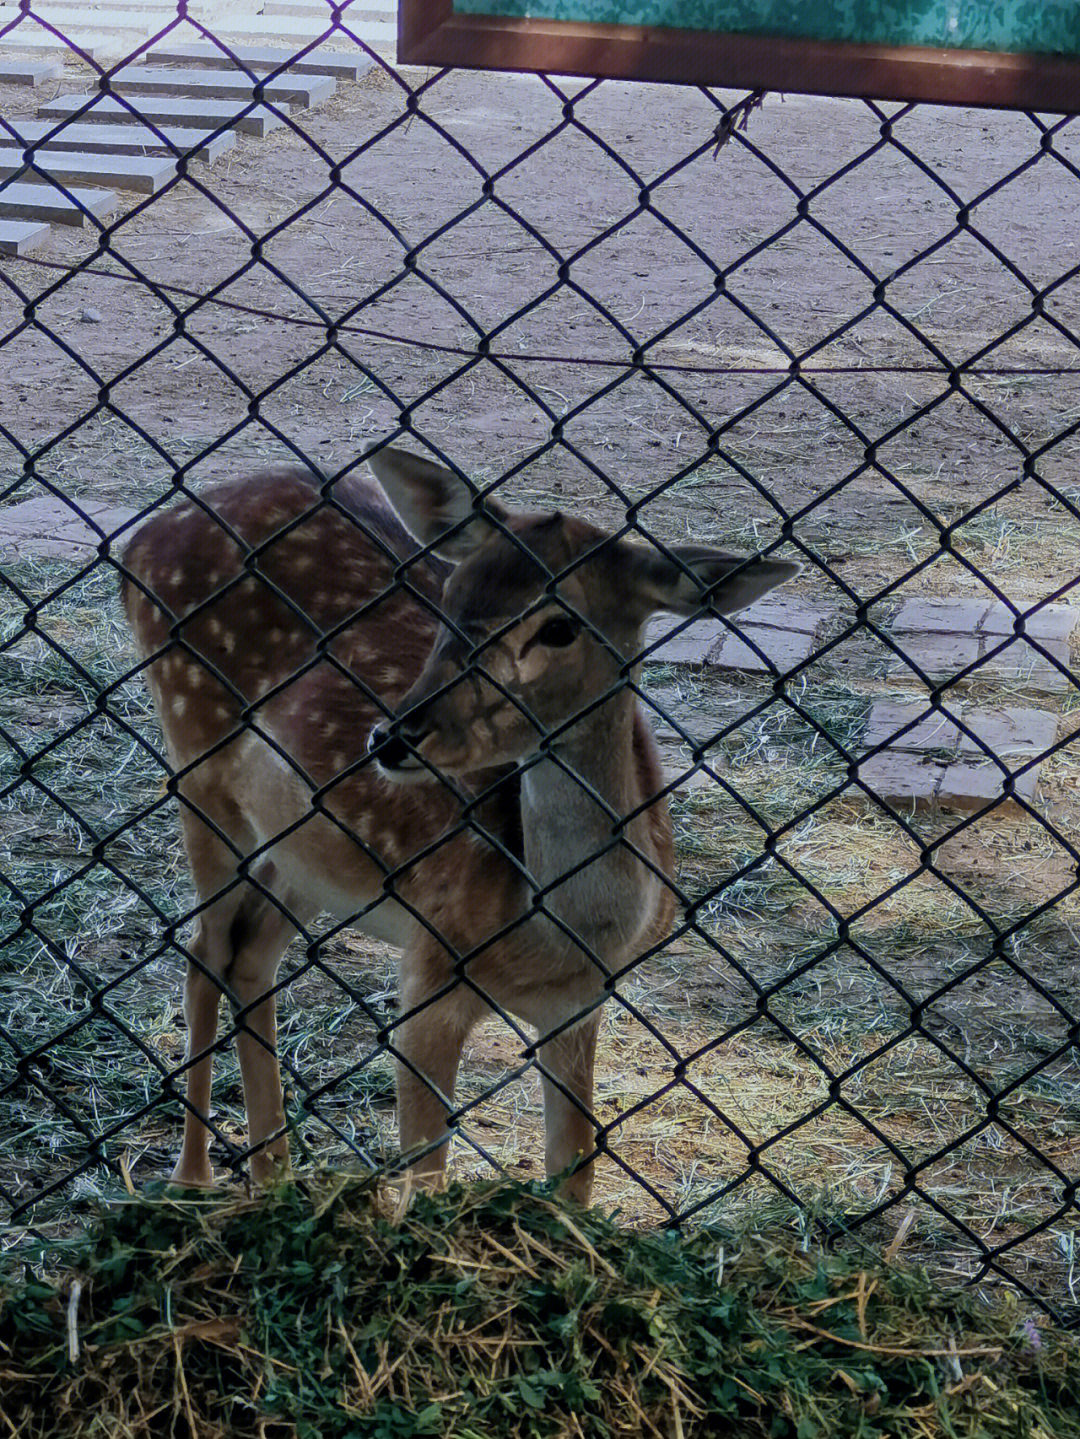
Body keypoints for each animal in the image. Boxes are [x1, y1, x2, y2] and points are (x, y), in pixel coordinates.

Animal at [122, 448, 799, 1203]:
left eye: (559, 625)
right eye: (450, 595)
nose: (392, 735)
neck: (561, 938)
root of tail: (143, 535)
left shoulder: (581, 1007)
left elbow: (576, 1174)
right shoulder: (430, 971)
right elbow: (425, 1176)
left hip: (303, 845)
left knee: (250, 950)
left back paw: (276, 1178)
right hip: (195, 752)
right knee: (203, 945)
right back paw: (192, 1175)